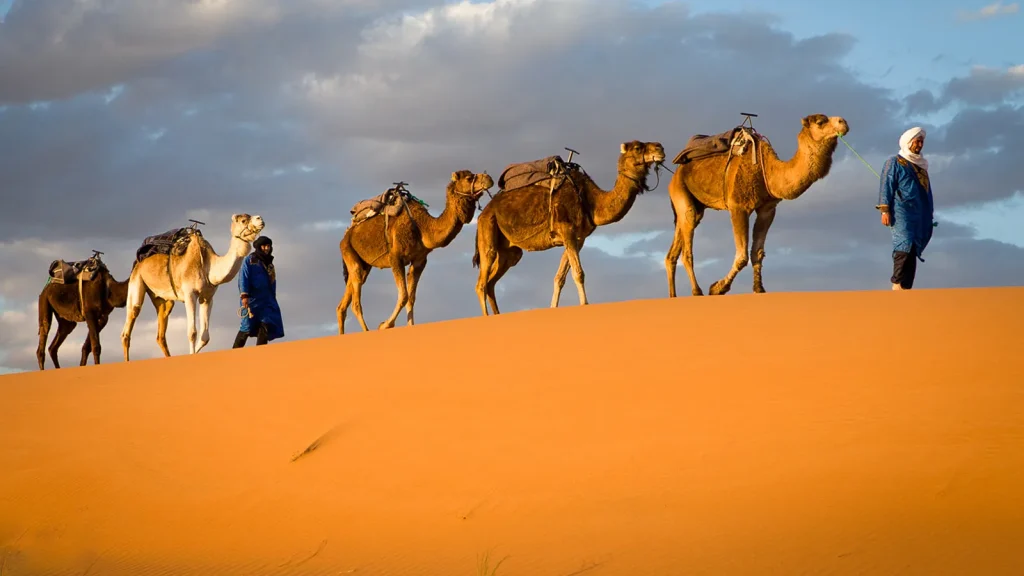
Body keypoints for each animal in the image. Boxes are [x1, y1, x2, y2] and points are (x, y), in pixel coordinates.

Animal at [118, 213, 264, 360]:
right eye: (243, 220)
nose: (260, 219)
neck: (208, 265)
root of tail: (138, 261)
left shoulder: (207, 298)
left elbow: (205, 337)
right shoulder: (190, 294)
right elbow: (192, 332)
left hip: (162, 298)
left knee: (161, 332)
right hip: (136, 280)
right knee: (129, 324)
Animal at [337, 169, 493, 332]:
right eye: (469, 178)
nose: (489, 178)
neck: (422, 227)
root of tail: (347, 234)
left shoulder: (419, 260)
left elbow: (411, 298)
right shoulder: (395, 257)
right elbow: (404, 295)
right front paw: (384, 325)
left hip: (363, 264)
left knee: (343, 304)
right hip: (348, 251)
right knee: (355, 303)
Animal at [468, 140, 663, 315]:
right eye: (638, 147)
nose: (660, 148)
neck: (591, 201)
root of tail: (484, 212)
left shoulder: (578, 238)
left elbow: (559, 278)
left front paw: (553, 308)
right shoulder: (566, 229)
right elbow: (578, 273)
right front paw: (585, 304)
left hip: (510, 251)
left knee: (492, 282)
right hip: (488, 229)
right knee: (482, 282)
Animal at [663, 114, 847, 297]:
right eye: (820, 122)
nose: (843, 122)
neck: (770, 171)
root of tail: (676, 173)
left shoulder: (767, 209)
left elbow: (757, 252)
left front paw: (759, 288)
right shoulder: (738, 207)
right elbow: (742, 256)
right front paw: (717, 288)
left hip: (694, 205)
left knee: (673, 250)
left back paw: (673, 295)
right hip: (680, 191)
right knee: (687, 246)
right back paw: (697, 291)